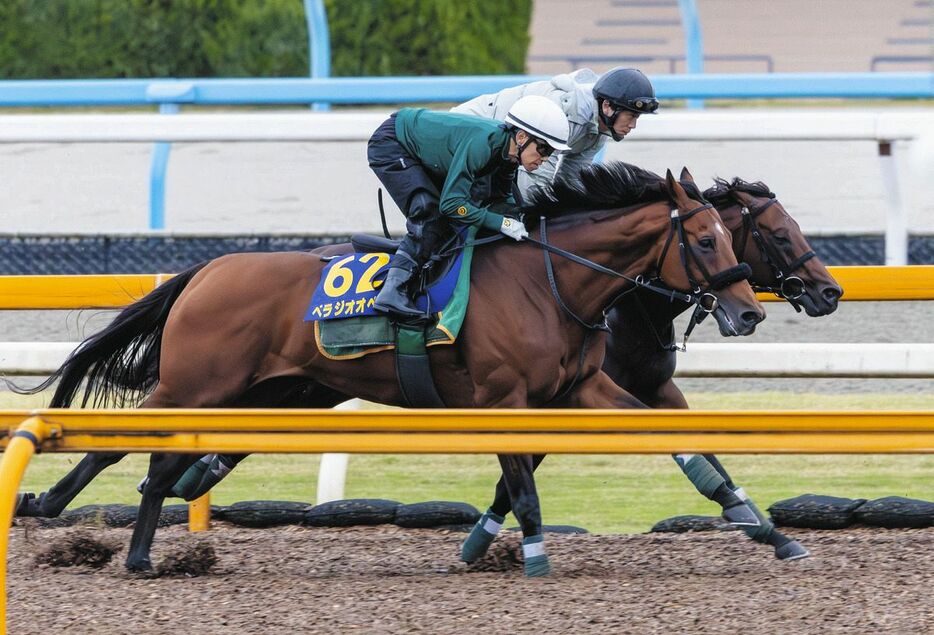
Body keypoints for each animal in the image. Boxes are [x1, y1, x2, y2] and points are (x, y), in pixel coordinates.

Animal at [14, 165, 764, 576]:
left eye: (733, 238)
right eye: (705, 239)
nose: (751, 312)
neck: (550, 281)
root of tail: (206, 269)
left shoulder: (580, 387)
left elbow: (677, 442)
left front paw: (761, 525)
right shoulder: (504, 399)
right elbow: (522, 488)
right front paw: (532, 557)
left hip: (253, 392)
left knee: (162, 464)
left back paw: (140, 552)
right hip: (196, 384)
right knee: (120, 445)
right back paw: (48, 505)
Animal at [464, 169, 844, 560]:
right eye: (781, 235)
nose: (830, 291)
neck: (631, 309)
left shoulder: (657, 390)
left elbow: (703, 453)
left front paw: (758, 523)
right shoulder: (555, 401)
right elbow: (511, 480)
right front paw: (481, 539)